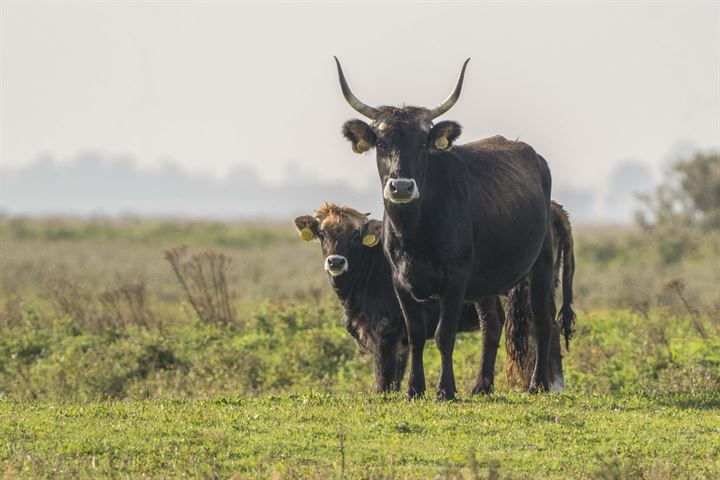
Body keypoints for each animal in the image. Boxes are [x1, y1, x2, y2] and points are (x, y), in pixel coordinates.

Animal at [292, 202, 572, 394]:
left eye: (355, 235)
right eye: (323, 234)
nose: (336, 262)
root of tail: (555, 209)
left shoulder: (384, 333)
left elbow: (384, 376)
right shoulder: (401, 338)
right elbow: (397, 374)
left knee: (528, 325)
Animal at [334, 58, 576, 400]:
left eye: (423, 143)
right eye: (381, 143)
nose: (401, 186)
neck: (415, 232)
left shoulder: (455, 280)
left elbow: (443, 335)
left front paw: (445, 390)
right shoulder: (401, 283)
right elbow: (416, 335)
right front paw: (414, 389)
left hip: (539, 268)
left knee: (543, 321)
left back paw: (538, 383)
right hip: (487, 281)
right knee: (493, 324)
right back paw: (482, 385)